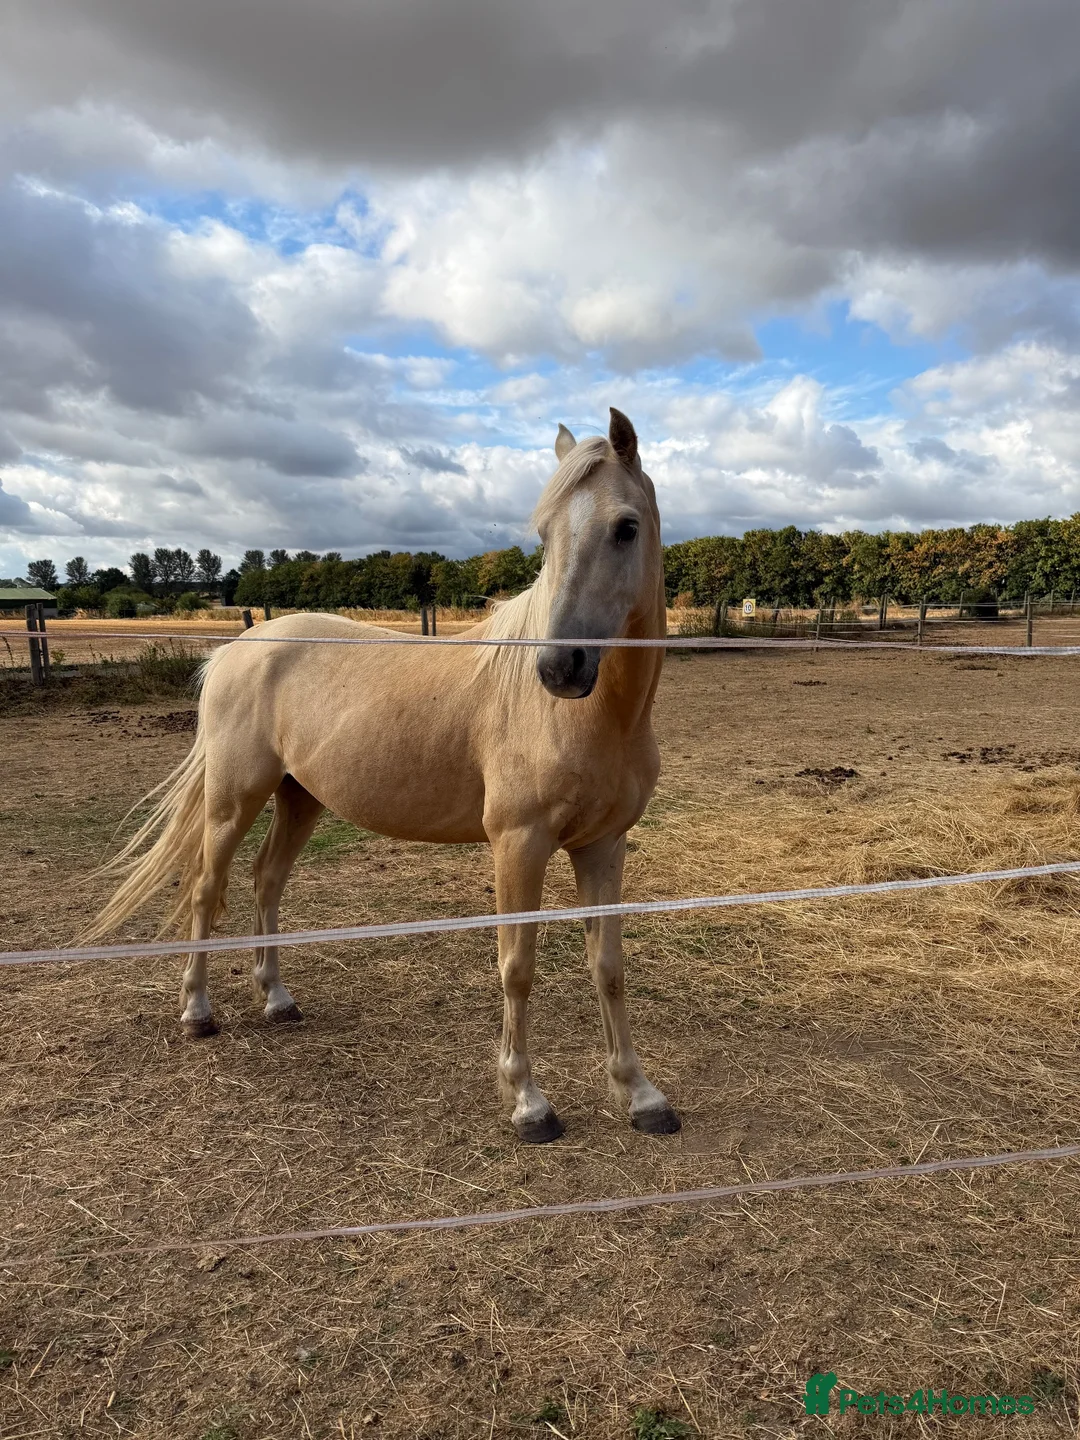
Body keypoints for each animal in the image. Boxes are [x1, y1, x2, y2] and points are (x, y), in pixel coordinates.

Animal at [87, 407, 680, 1143]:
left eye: (626, 526)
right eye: (544, 534)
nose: (559, 667)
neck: (597, 718)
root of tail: (235, 649)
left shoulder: (603, 844)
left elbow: (609, 968)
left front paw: (640, 1094)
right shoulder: (520, 843)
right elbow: (517, 967)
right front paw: (527, 1102)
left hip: (300, 799)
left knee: (265, 881)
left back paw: (277, 999)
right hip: (234, 798)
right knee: (206, 888)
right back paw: (198, 1012)